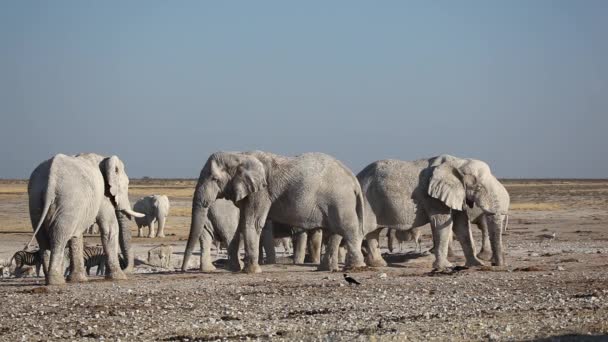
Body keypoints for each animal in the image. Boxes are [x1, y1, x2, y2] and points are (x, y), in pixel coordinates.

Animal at [28, 154, 144, 284]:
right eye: (126, 185)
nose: (126, 269)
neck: (104, 159)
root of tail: (50, 180)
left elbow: (76, 235)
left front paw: (78, 280)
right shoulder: (103, 195)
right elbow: (110, 228)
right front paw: (119, 277)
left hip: (35, 199)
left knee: (43, 239)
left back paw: (50, 278)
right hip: (68, 199)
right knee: (59, 236)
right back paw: (56, 281)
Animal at [182, 151, 366, 274]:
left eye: (214, 179)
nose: (183, 270)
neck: (240, 155)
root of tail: (353, 178)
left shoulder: (262, 191)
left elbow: (252, 223)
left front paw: (251, 271)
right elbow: (243, 223)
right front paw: (243, 269)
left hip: (340, 199)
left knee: (347, 228)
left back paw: (356, 267)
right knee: (334, 231)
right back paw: (326, 269)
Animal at [358, 155, 510, 270]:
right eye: (478, 187)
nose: (495, 264)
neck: (458, 162)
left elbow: (461, 225)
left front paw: (478, 264)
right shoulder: (432, 196)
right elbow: (441, 222)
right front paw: (446, 266)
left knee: (373, 232)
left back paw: (378, 264)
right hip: (365, 200)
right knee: (366, 230)